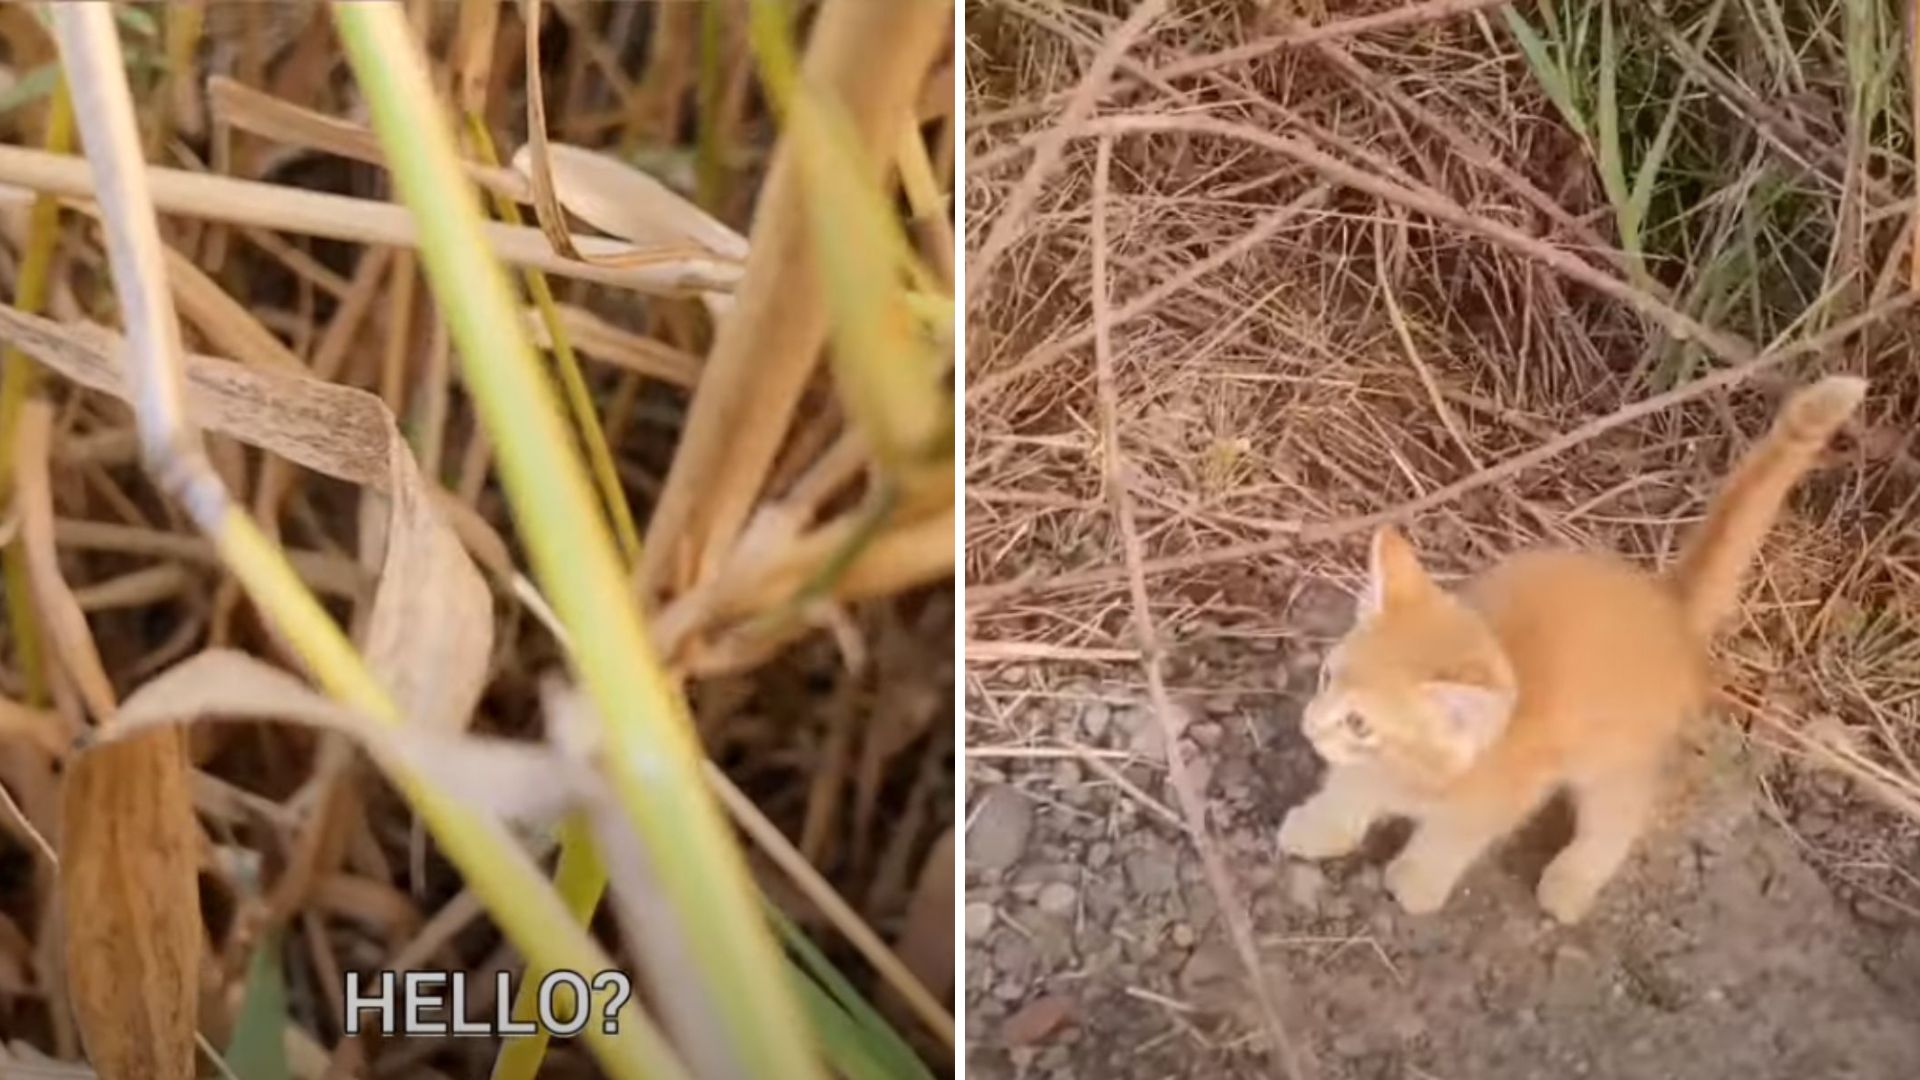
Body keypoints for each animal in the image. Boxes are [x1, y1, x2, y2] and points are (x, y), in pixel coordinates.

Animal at [1282, 372, 1866, 914]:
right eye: (1326, 676)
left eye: (1360, 723)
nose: (1308, 724)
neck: (1413, 773)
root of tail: (1665, 602)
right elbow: (1347, 794)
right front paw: (1318, 827)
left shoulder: (1498, 802)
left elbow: (1450, 838)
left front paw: (1417, 882)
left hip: (1614, 761)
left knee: (1618, 817)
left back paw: (1572, 881)